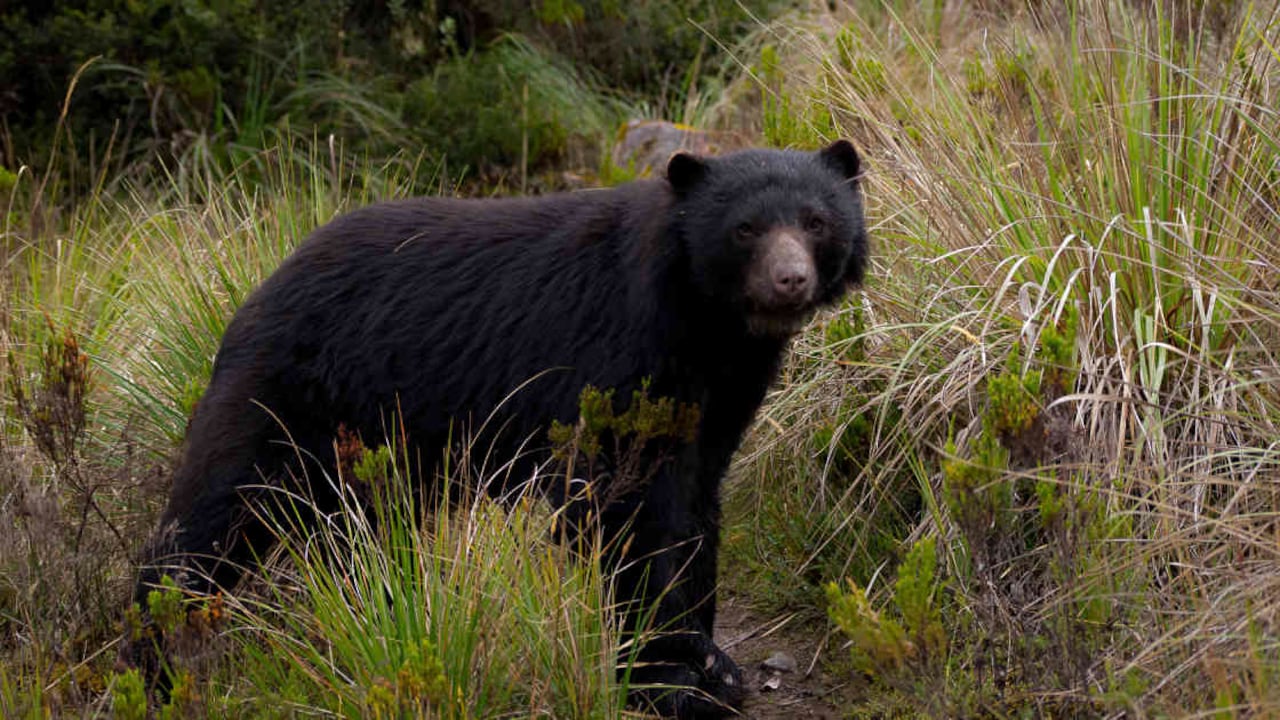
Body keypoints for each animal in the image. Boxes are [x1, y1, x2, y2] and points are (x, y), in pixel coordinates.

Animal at [132, 140, 867, 718]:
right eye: (745, 229)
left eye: (816, 221)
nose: (789, 280)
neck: (709, 325)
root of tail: (259, 291)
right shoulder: (615, 359)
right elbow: (628, 509)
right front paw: (667, 678)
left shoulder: (721, 395)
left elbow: (694, 505)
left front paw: (713, 665)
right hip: (282, 399)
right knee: (210, 521)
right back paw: (153, 665)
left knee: (362, 542)